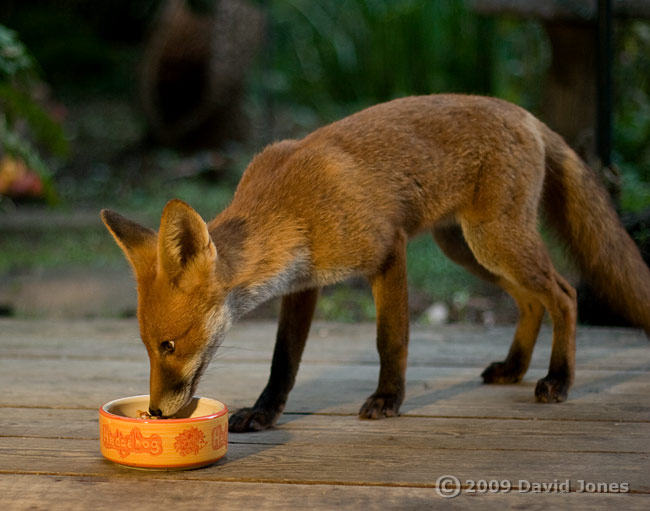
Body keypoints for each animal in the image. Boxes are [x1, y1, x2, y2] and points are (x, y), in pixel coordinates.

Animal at [101, 94, 648, 430]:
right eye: (148, 347)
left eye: (169, 345)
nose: (155, 413)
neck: (292, 208)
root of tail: (526, 114)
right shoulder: (304, 284)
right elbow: (284, 360)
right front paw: (265, 412)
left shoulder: (389, 251)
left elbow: (391, 340)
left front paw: (389, 399)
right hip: (467, 248)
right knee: (531, 302)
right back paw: (513, 367)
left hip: (496, 241)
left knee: (565, 294)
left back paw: (559, 378)